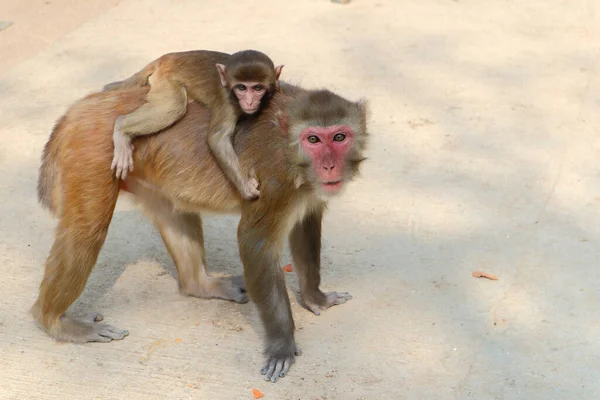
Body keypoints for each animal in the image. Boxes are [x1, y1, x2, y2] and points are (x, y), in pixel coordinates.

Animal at [104, 50, 282, 200]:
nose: (249, 102)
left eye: (258, 88)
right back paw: (121, 129)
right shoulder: (226, 98)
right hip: (166, 79)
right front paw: (245, 186)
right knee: (175, 104)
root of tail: (165, 58)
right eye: (241, 88)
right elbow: (217, 138)